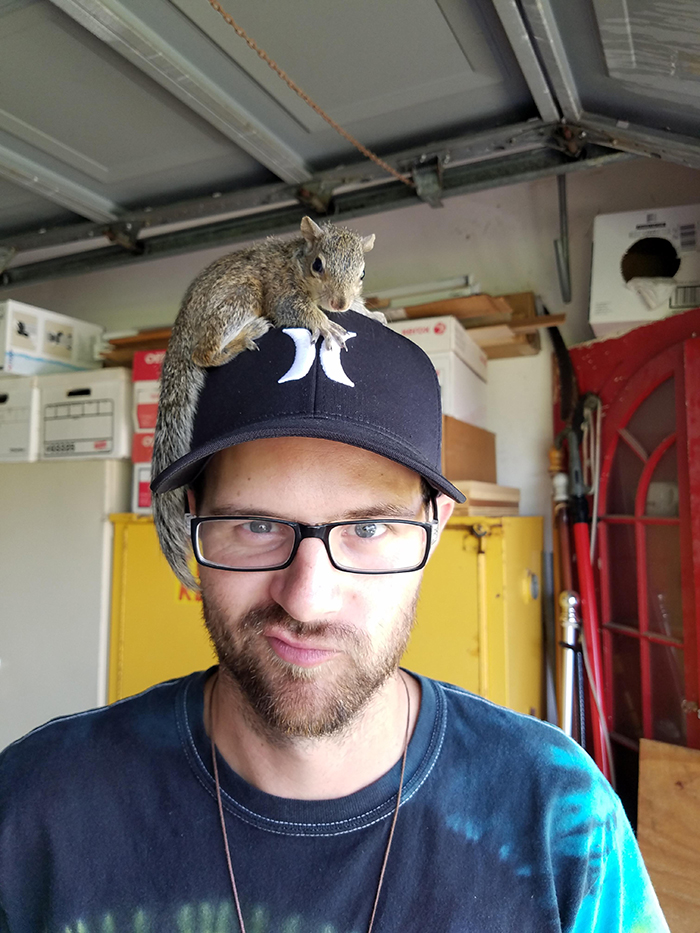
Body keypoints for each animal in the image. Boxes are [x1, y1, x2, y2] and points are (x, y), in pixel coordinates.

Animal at [153, 215, 380, 588]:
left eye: (362, 273)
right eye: (318, 265)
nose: (340, 303)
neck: (295, 261)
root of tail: (180, 334)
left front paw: (371, 313)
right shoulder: (280, 287)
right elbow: (295, 308)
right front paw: (325, 324)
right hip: (241, 296)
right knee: (203, 354)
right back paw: (241, 339)